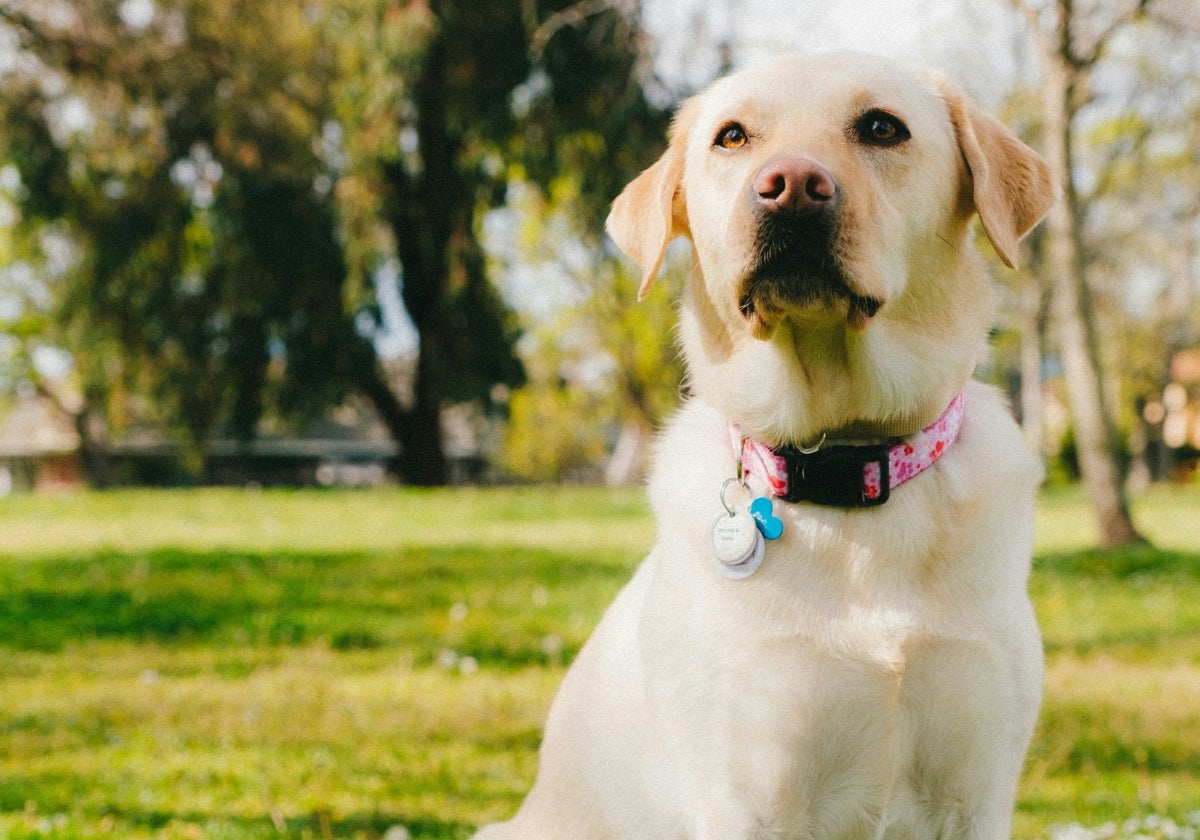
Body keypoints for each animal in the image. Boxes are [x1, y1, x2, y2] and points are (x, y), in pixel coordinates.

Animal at [472, 52, 1056, 840]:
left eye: (882, 127)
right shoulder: (749, 795)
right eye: (732, 137)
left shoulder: (976, 796)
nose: (791, 188)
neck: (845, 457)